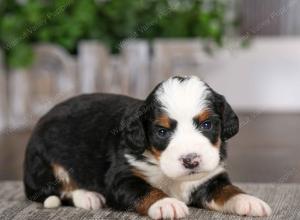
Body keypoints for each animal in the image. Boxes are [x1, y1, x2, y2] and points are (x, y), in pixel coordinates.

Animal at [24, 75, 272, 218]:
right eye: (162, 132)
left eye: (207, 124)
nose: (191, 160)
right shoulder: (122, 177)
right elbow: (145, 189)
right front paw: (166, 203)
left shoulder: (210, 177)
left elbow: (228, 190)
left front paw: (249, 200)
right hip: (43, 163)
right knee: (54, 189)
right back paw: (88, 196)